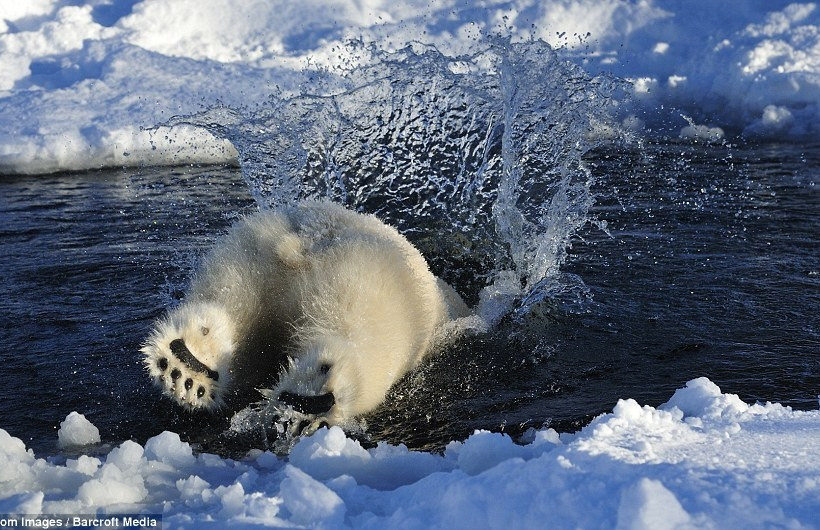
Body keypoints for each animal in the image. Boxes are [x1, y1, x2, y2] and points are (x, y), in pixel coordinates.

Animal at [143, 200, 468, 426]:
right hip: (384, 290)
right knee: (364, 339)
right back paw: (313, 397)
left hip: (248, 256)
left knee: (231, 300)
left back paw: (188, 365)